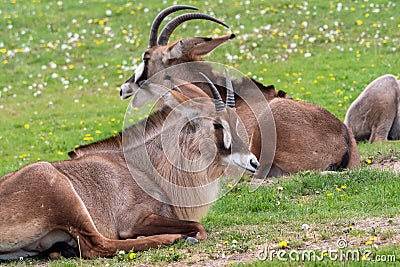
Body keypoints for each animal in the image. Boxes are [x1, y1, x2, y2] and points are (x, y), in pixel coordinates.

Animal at [0, 74, 260, 262]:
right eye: (217, 124)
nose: (253, 162)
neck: (147, 168)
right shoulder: (134, 219)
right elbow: (198, 227)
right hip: (60, 190)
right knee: (96, 246)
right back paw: (174, 238)